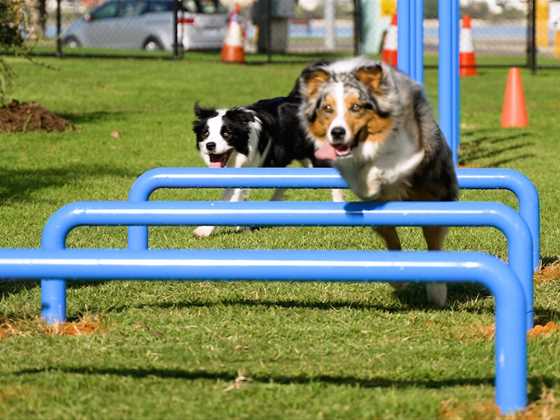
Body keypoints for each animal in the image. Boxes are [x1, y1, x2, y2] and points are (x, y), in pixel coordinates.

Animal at [296, 57, 458, 306]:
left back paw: (437, 291)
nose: (337, 132)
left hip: (433, 194)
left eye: (356, 107)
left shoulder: (411, 148)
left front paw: (375, 177)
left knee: (433, 239)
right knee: (390, 234)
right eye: (327, 109)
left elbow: (389, 164)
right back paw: (398, 276)